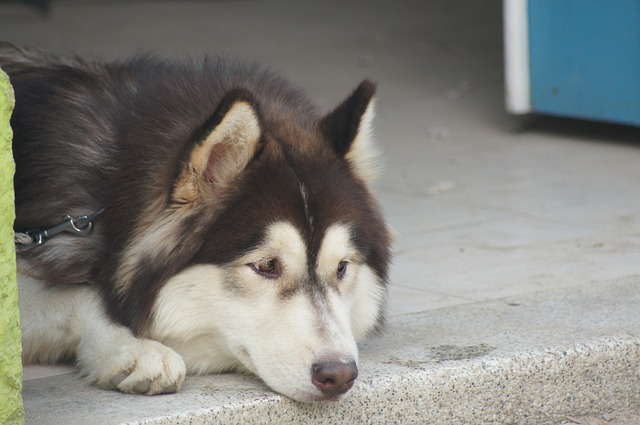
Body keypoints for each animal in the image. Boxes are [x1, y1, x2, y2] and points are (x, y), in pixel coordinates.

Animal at [2, 43, 392, 400]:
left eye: (341, 267)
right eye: (267, 265)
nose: (339, 374)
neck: (109, 197)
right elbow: (82, 295)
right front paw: (135, 349)